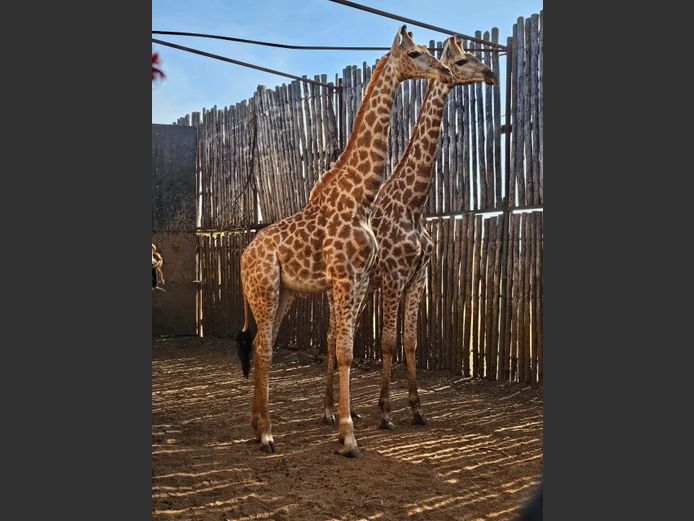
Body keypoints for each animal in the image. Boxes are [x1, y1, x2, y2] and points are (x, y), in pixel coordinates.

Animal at [237, 26, 453, 457]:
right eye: (416, 53)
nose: (444, 72)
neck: (360, 198)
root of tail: (243, 258)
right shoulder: (344, 277)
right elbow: (343, 351)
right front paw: (350, 436)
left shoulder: (360, 280)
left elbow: (348, 349)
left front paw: (346, 427)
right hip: (265, 290)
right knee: (264, 348)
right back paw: (267, 434)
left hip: (283, 294)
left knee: (262, 345)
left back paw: (258, 427)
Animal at [347, 36, 498, 430]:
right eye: (462, 61)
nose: (492, 74)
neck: (413, 205)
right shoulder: (395, 277)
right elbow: (387, 342)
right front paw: (386, 412)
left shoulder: (418, 277)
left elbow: (411, 341)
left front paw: (417, 409)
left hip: (365, 288)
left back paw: (348, 409)